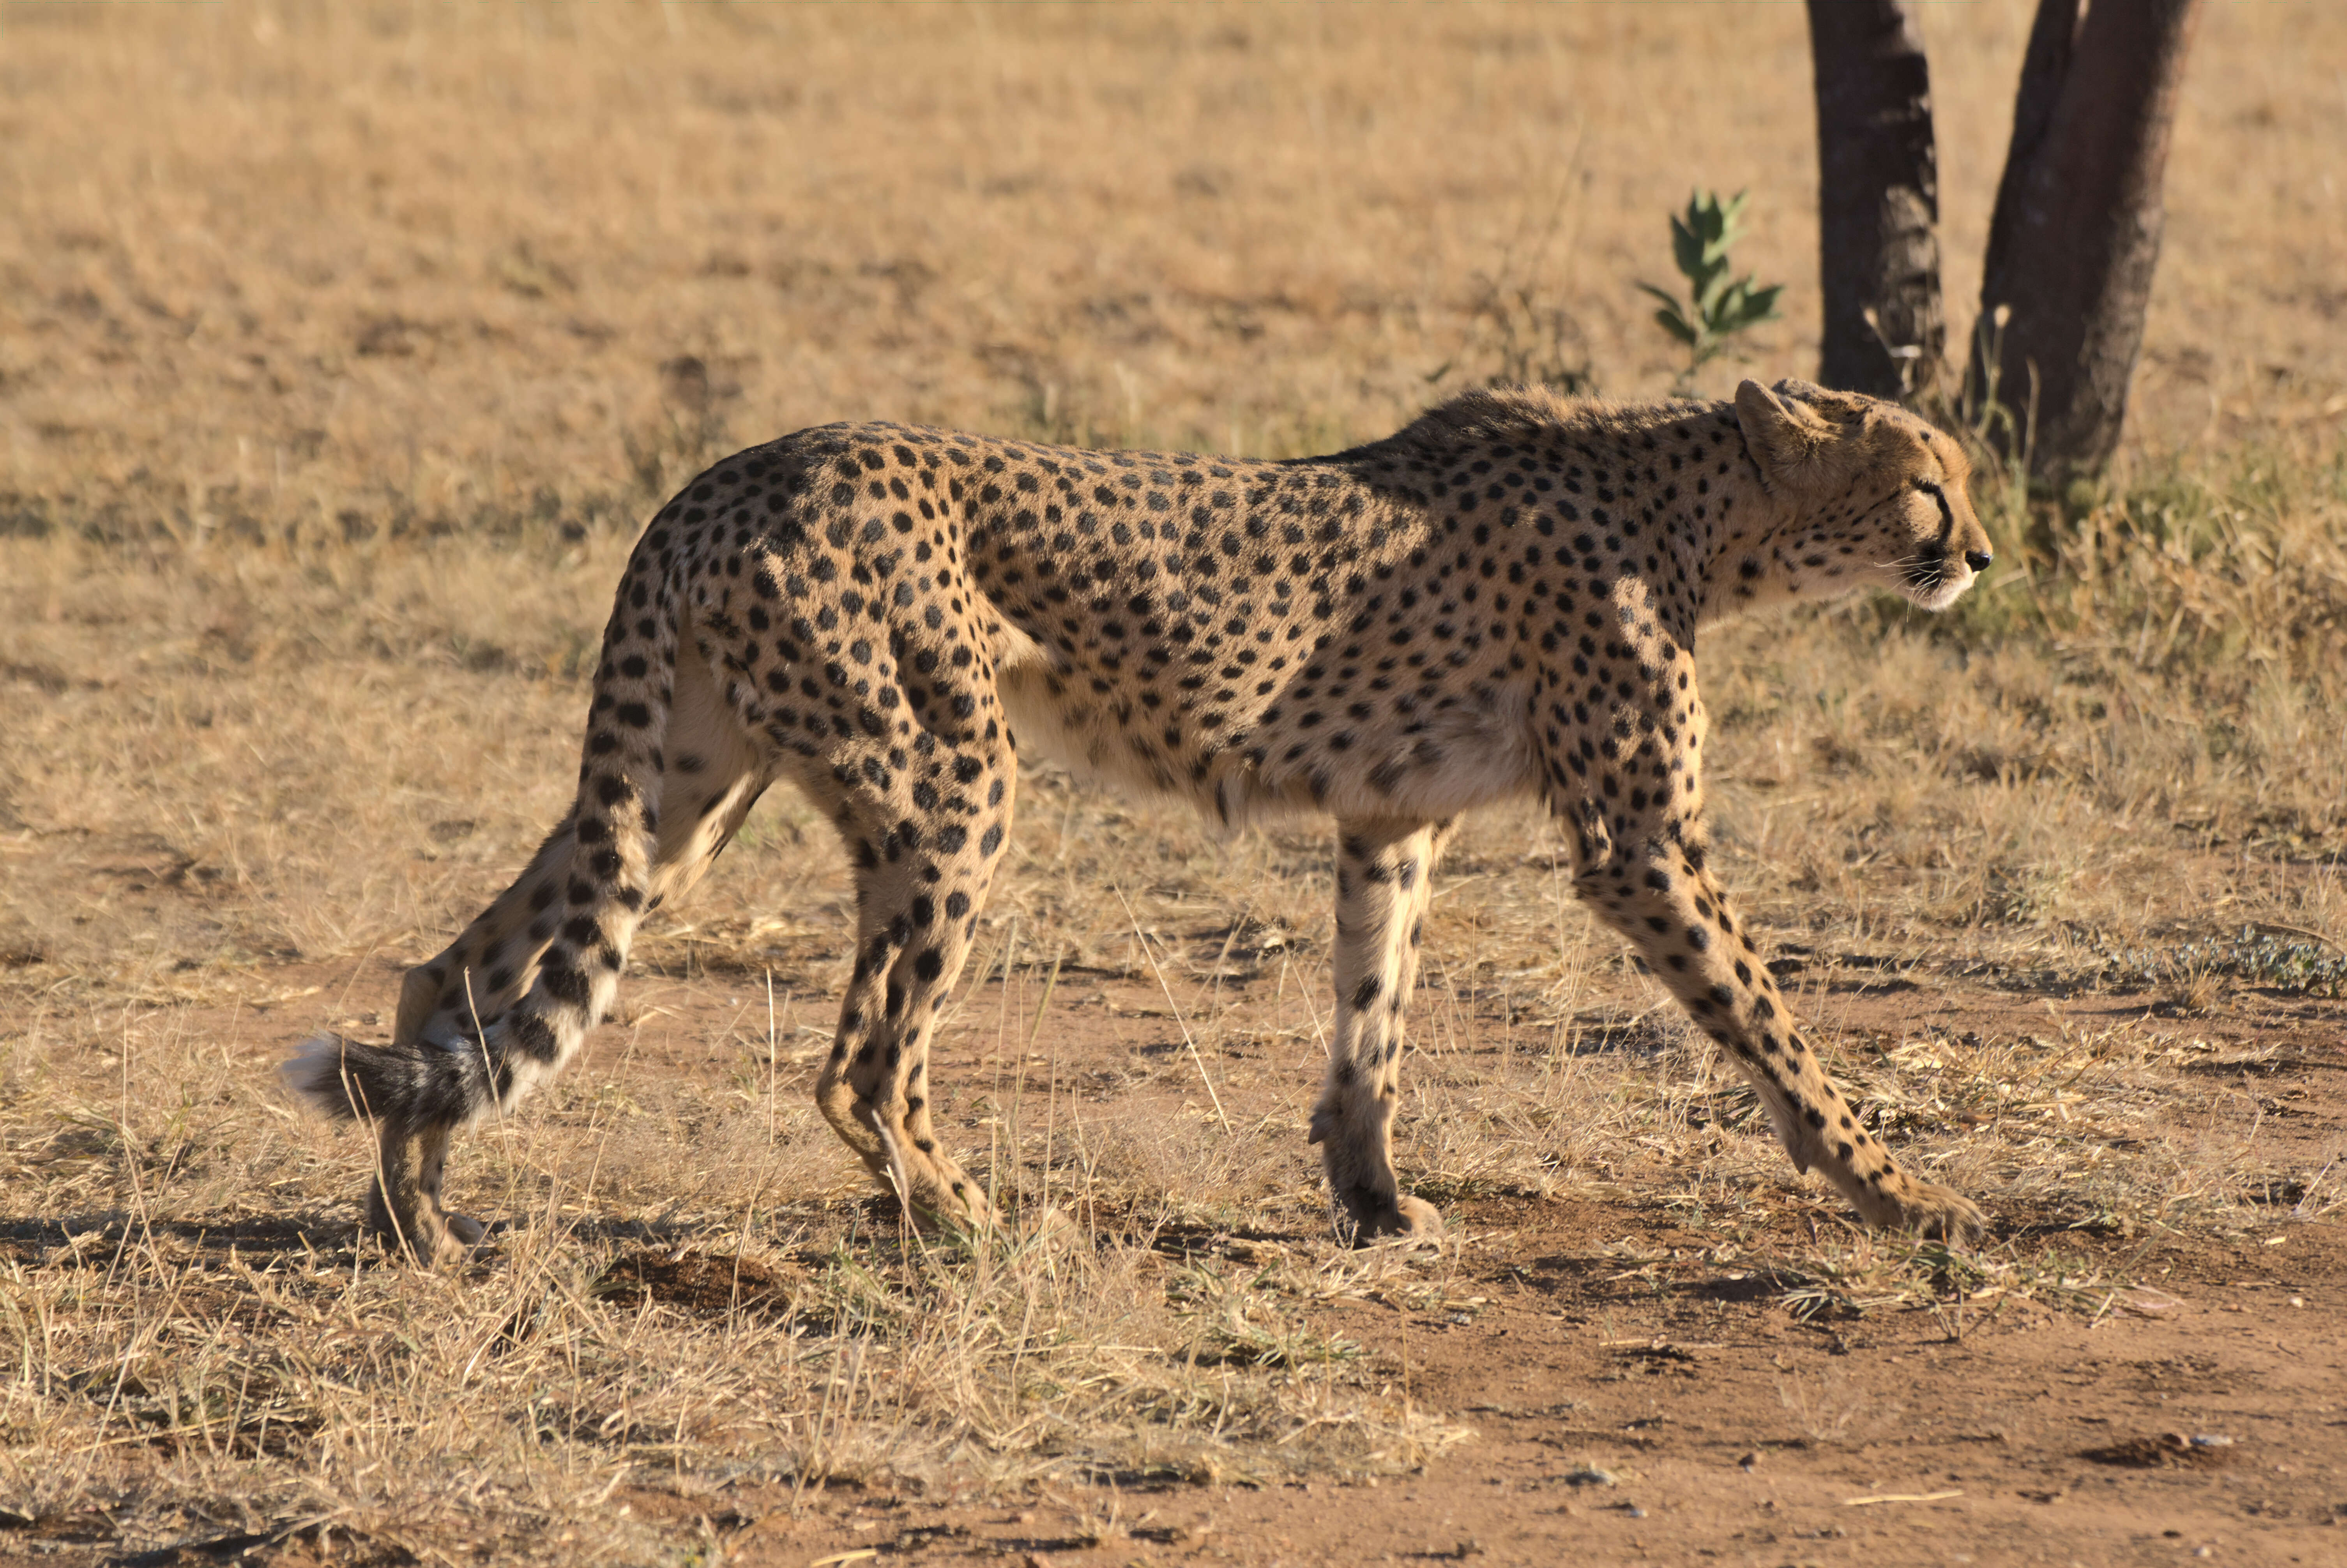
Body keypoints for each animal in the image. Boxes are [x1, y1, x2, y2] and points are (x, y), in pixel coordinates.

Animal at [284, 380, 1990, 1258]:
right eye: (1925, 483)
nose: (1978, 553)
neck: (1690, 506)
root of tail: (738, 466)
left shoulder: (1390, 820)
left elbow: (1371, 1017)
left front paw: (1373, 1200)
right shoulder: (1641, 843)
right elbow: (1771, 1022)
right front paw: (1904, 1192)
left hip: (687, 789)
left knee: (456, 974)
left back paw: (418, 1218)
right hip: (951, 783)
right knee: (860, 1059)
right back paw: (968, 1219)